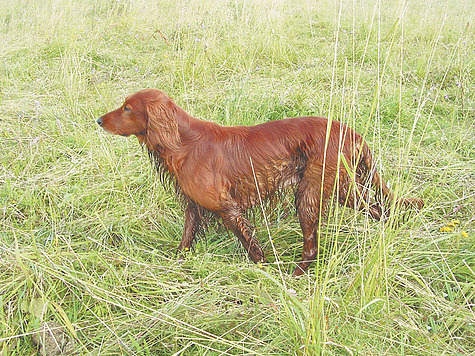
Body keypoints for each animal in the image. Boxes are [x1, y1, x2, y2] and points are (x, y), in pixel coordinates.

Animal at [97, 89, 424, 276]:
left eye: (127, 108)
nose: (98, 120)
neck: (183, 142)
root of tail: (352, 132)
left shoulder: (227, 208)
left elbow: (251, 246)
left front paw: (264, 271)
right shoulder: (193, 206)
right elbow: (187, 237)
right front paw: (177, 261)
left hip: (310, 194)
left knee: (313, 245)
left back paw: (295, 276)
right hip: (339, 189)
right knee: (377, 209)